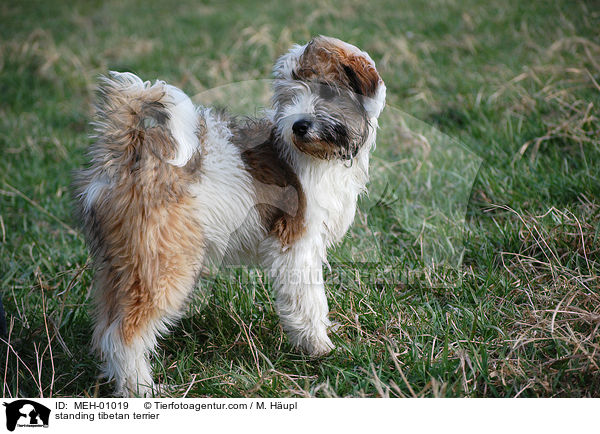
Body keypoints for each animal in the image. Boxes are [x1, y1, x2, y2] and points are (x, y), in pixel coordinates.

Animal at [74, 36, 384, 396]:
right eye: (292, 94)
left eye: (327, 91)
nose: (299, 125)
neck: (318, 154)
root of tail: (128, 155)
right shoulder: (297, 245)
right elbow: (308, 298)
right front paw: (318, 346)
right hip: (163, 264)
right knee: (123, 333)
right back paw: (141, 389)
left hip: (123, 264)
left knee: (105, 329)